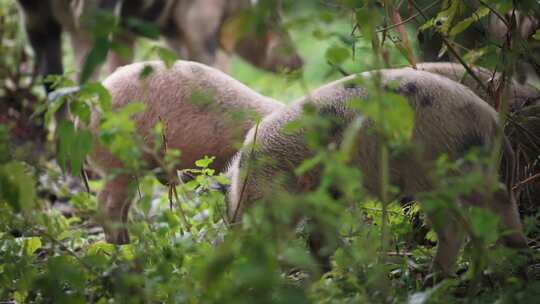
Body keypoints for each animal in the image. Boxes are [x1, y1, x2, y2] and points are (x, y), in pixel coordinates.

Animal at [225, 68, 528, 278]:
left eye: (256, 204)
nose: (241, 244)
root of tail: (490, 118)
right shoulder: (328, 193)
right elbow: (321, 236)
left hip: (440, 169)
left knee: (467, 218)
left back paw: (439, 276)